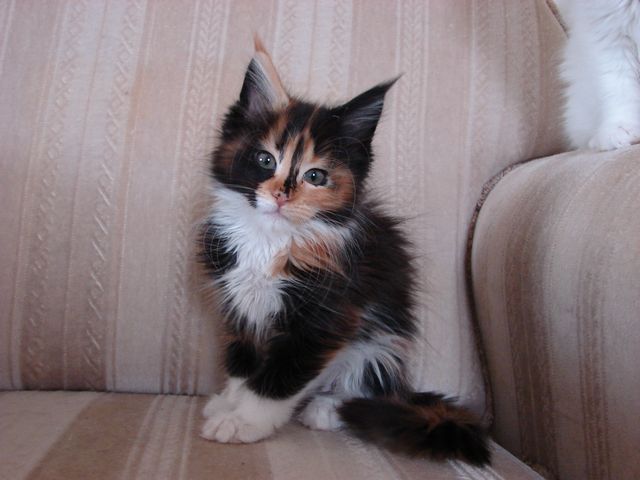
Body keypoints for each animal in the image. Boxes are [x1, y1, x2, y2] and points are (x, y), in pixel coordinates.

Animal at [199, 37, 490, 466]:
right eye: (265, 159)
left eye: (315, 176)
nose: (282, 196)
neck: (270, 239)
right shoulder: (239, 305)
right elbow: (242, 362)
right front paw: (230, 402)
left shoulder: (327, 317)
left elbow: (278, 378)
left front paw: (245, 421)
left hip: (381, 342)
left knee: (371, 386)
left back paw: (328, 407)